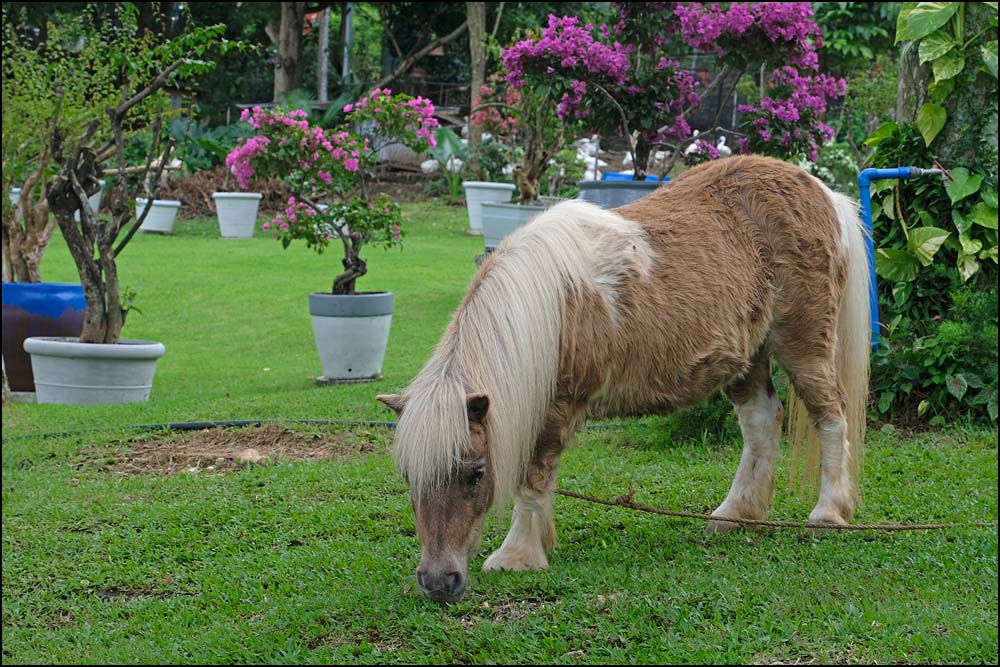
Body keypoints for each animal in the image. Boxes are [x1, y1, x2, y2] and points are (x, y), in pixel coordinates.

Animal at [376, 157, 868, 604]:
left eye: (476, 473)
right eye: (408, 475)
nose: (438, 582)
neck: (551, 307)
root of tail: (823, 192)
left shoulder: (558, 405)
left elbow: (534, 475)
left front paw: (517, 555)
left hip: (804, 344)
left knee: (830, 416)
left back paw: (828, 513)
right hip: (748, 358)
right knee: (762, 424)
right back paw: (735, 515)